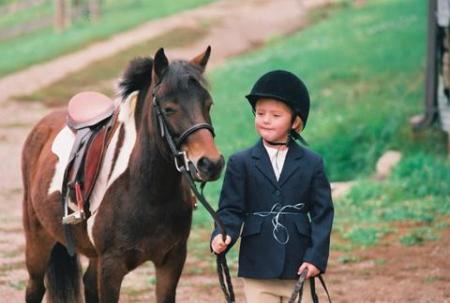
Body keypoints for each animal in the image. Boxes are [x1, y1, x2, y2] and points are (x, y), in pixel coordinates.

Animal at [21, 47, 225, 303]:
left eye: (208, 104)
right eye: (169, 109)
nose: (211, 163)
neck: (148, 191)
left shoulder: (172, 259)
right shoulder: (111, 267)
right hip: (38, 244)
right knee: (35, 288)